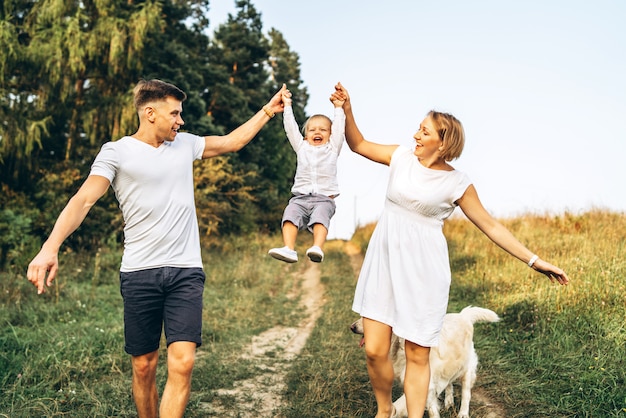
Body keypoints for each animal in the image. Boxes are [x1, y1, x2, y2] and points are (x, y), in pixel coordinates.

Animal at [348, 306, 500, 416]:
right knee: (449, 382)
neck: (400, 344)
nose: (352, 327)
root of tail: (463, 315)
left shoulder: (426, 383)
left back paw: (463, 413)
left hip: (467, 369)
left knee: (466, 394)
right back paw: (449, 402)